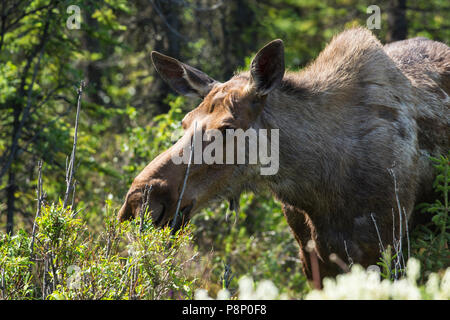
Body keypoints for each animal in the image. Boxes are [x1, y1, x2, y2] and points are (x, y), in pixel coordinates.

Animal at [119, 28, 450, 282]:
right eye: (185, 122)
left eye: (227, 127)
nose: (138, 203)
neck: (320, 188)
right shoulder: (311, 255)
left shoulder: (384, 248)